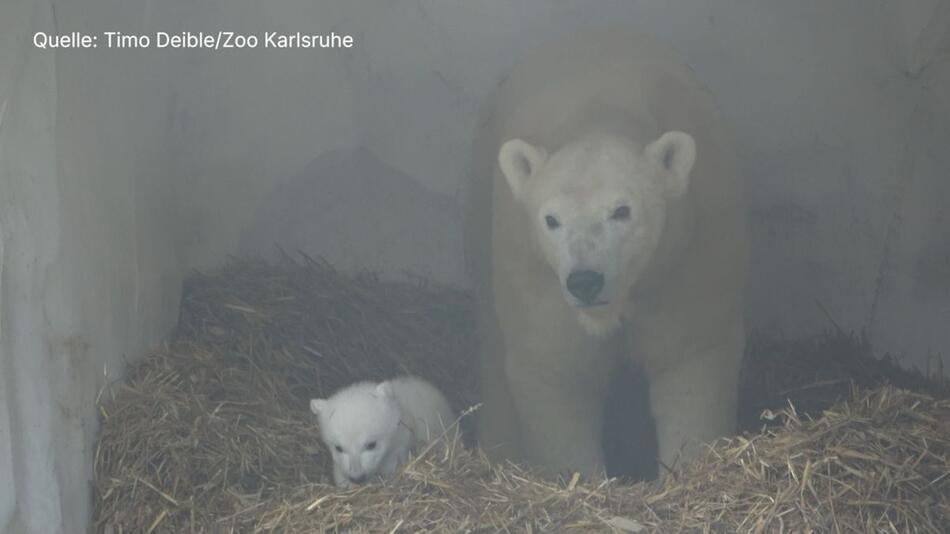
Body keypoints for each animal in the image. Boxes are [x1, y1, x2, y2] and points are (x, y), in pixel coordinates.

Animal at [468, 28, 752, 482]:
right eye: (551, 219)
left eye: (622, 210)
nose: (585, 281)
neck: (603, 109)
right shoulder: (534, 272)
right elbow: (557, 368)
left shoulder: (690, 255)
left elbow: (689, 358)